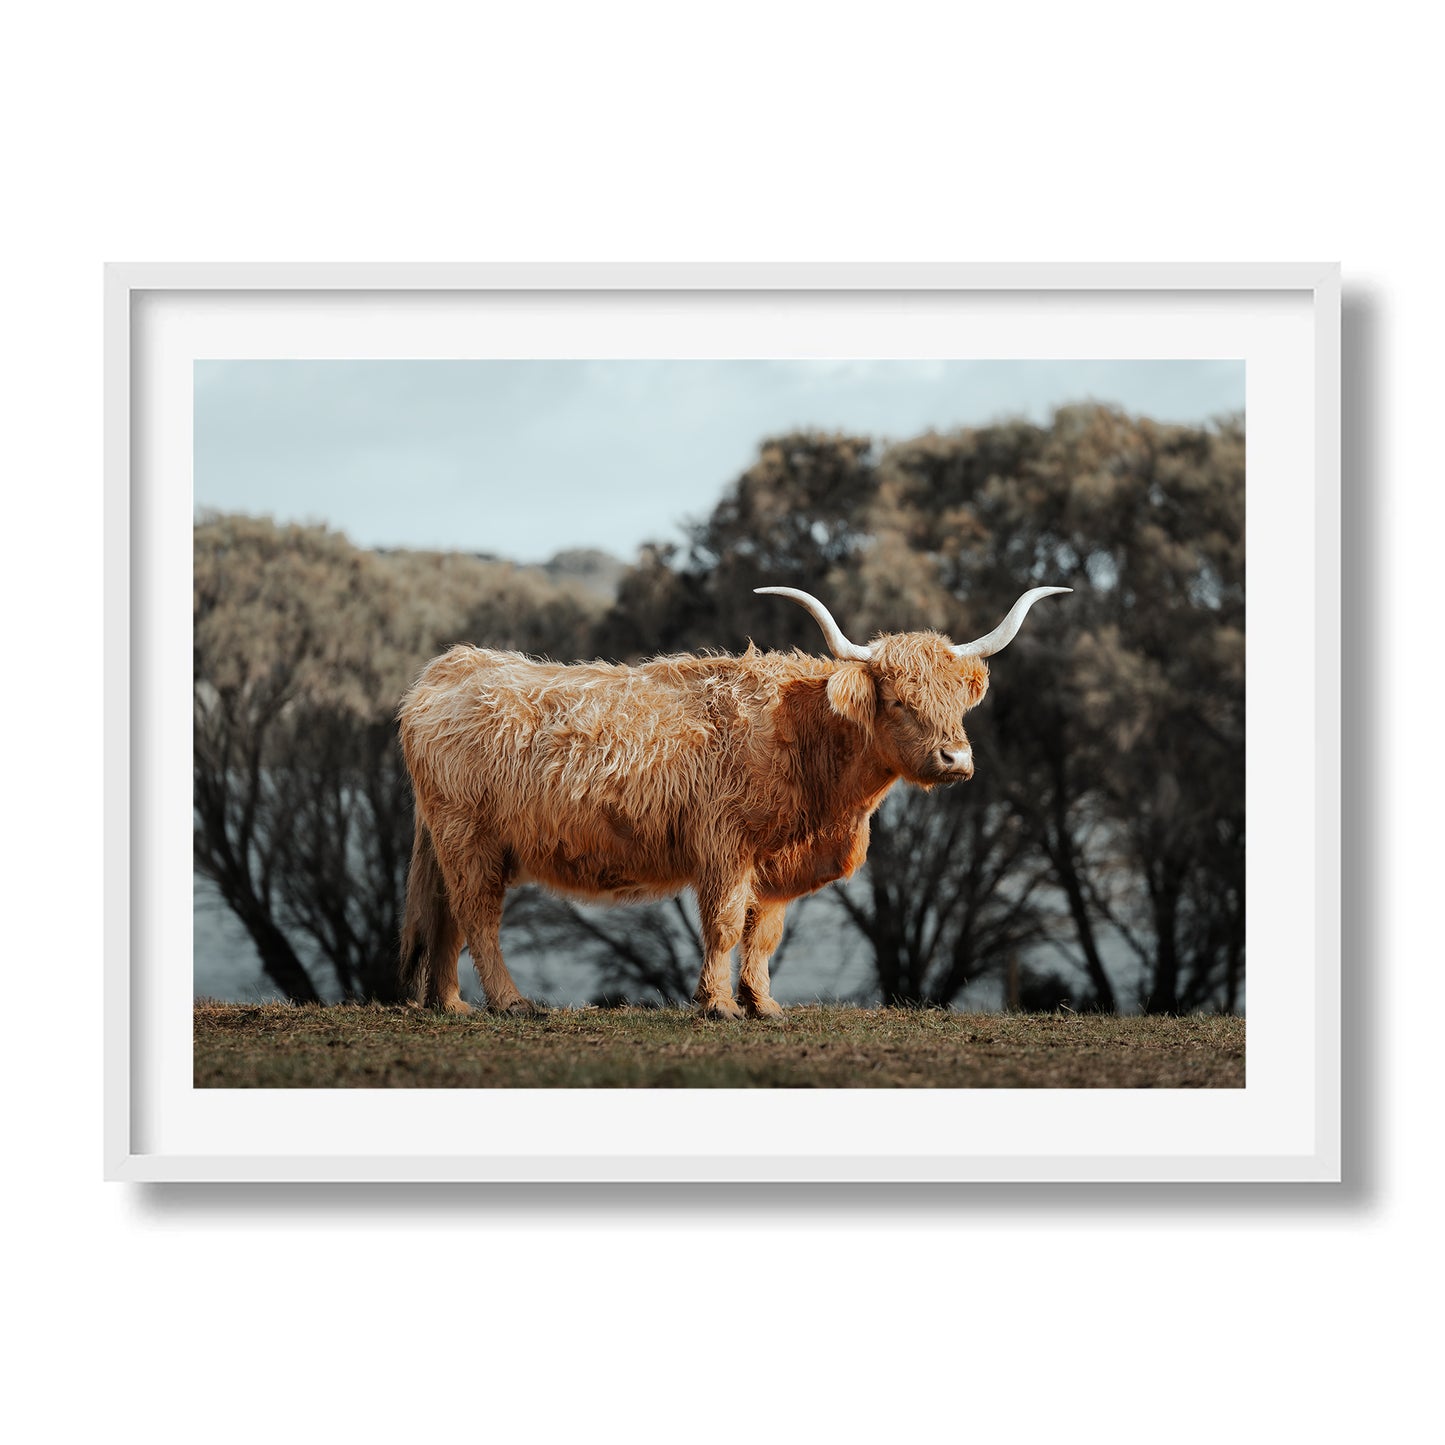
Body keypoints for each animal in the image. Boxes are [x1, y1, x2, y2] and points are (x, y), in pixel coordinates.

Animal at [397, 584, 1068, 1017]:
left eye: (957, 701)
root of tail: (450, 666)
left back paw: (452, 1006)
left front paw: (763, 1004)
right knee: (478, 917)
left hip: (454, 842)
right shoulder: (725, 846)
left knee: (447, 918)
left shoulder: (775, 862)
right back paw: (510, 1003)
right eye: (901, 701)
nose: (956, 760)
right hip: (470, 838)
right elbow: (722, 925)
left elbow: (763, 933)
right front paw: (718, 1005)